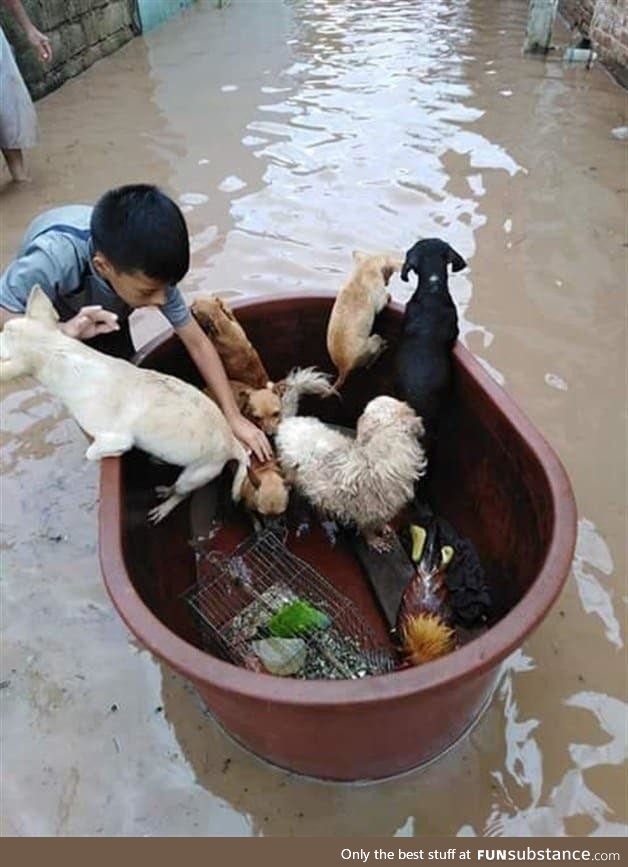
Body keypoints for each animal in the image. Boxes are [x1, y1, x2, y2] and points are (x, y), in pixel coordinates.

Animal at [1, 288, 249, 524]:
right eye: (3, 329)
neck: (60, 353)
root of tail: (234, 444)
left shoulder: (115, 438)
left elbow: (92, 452)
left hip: (194, 476)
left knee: (182, 493)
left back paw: (164, 506)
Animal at [276, 396, 426, 548]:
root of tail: (289, 422)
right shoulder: (368, 511)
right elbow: (367, 529)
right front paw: (374, 540)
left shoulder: (385, 508)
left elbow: (381, 521)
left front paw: (383, 527)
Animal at [326, 249, 400, 388]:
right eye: (390, 273)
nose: (388, 283)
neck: (365, 267)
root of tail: (343, 368)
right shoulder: (380, 299)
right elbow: (383, 300)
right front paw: (389, 296)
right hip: (374, 339)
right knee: (370, 362)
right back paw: (382, 348)